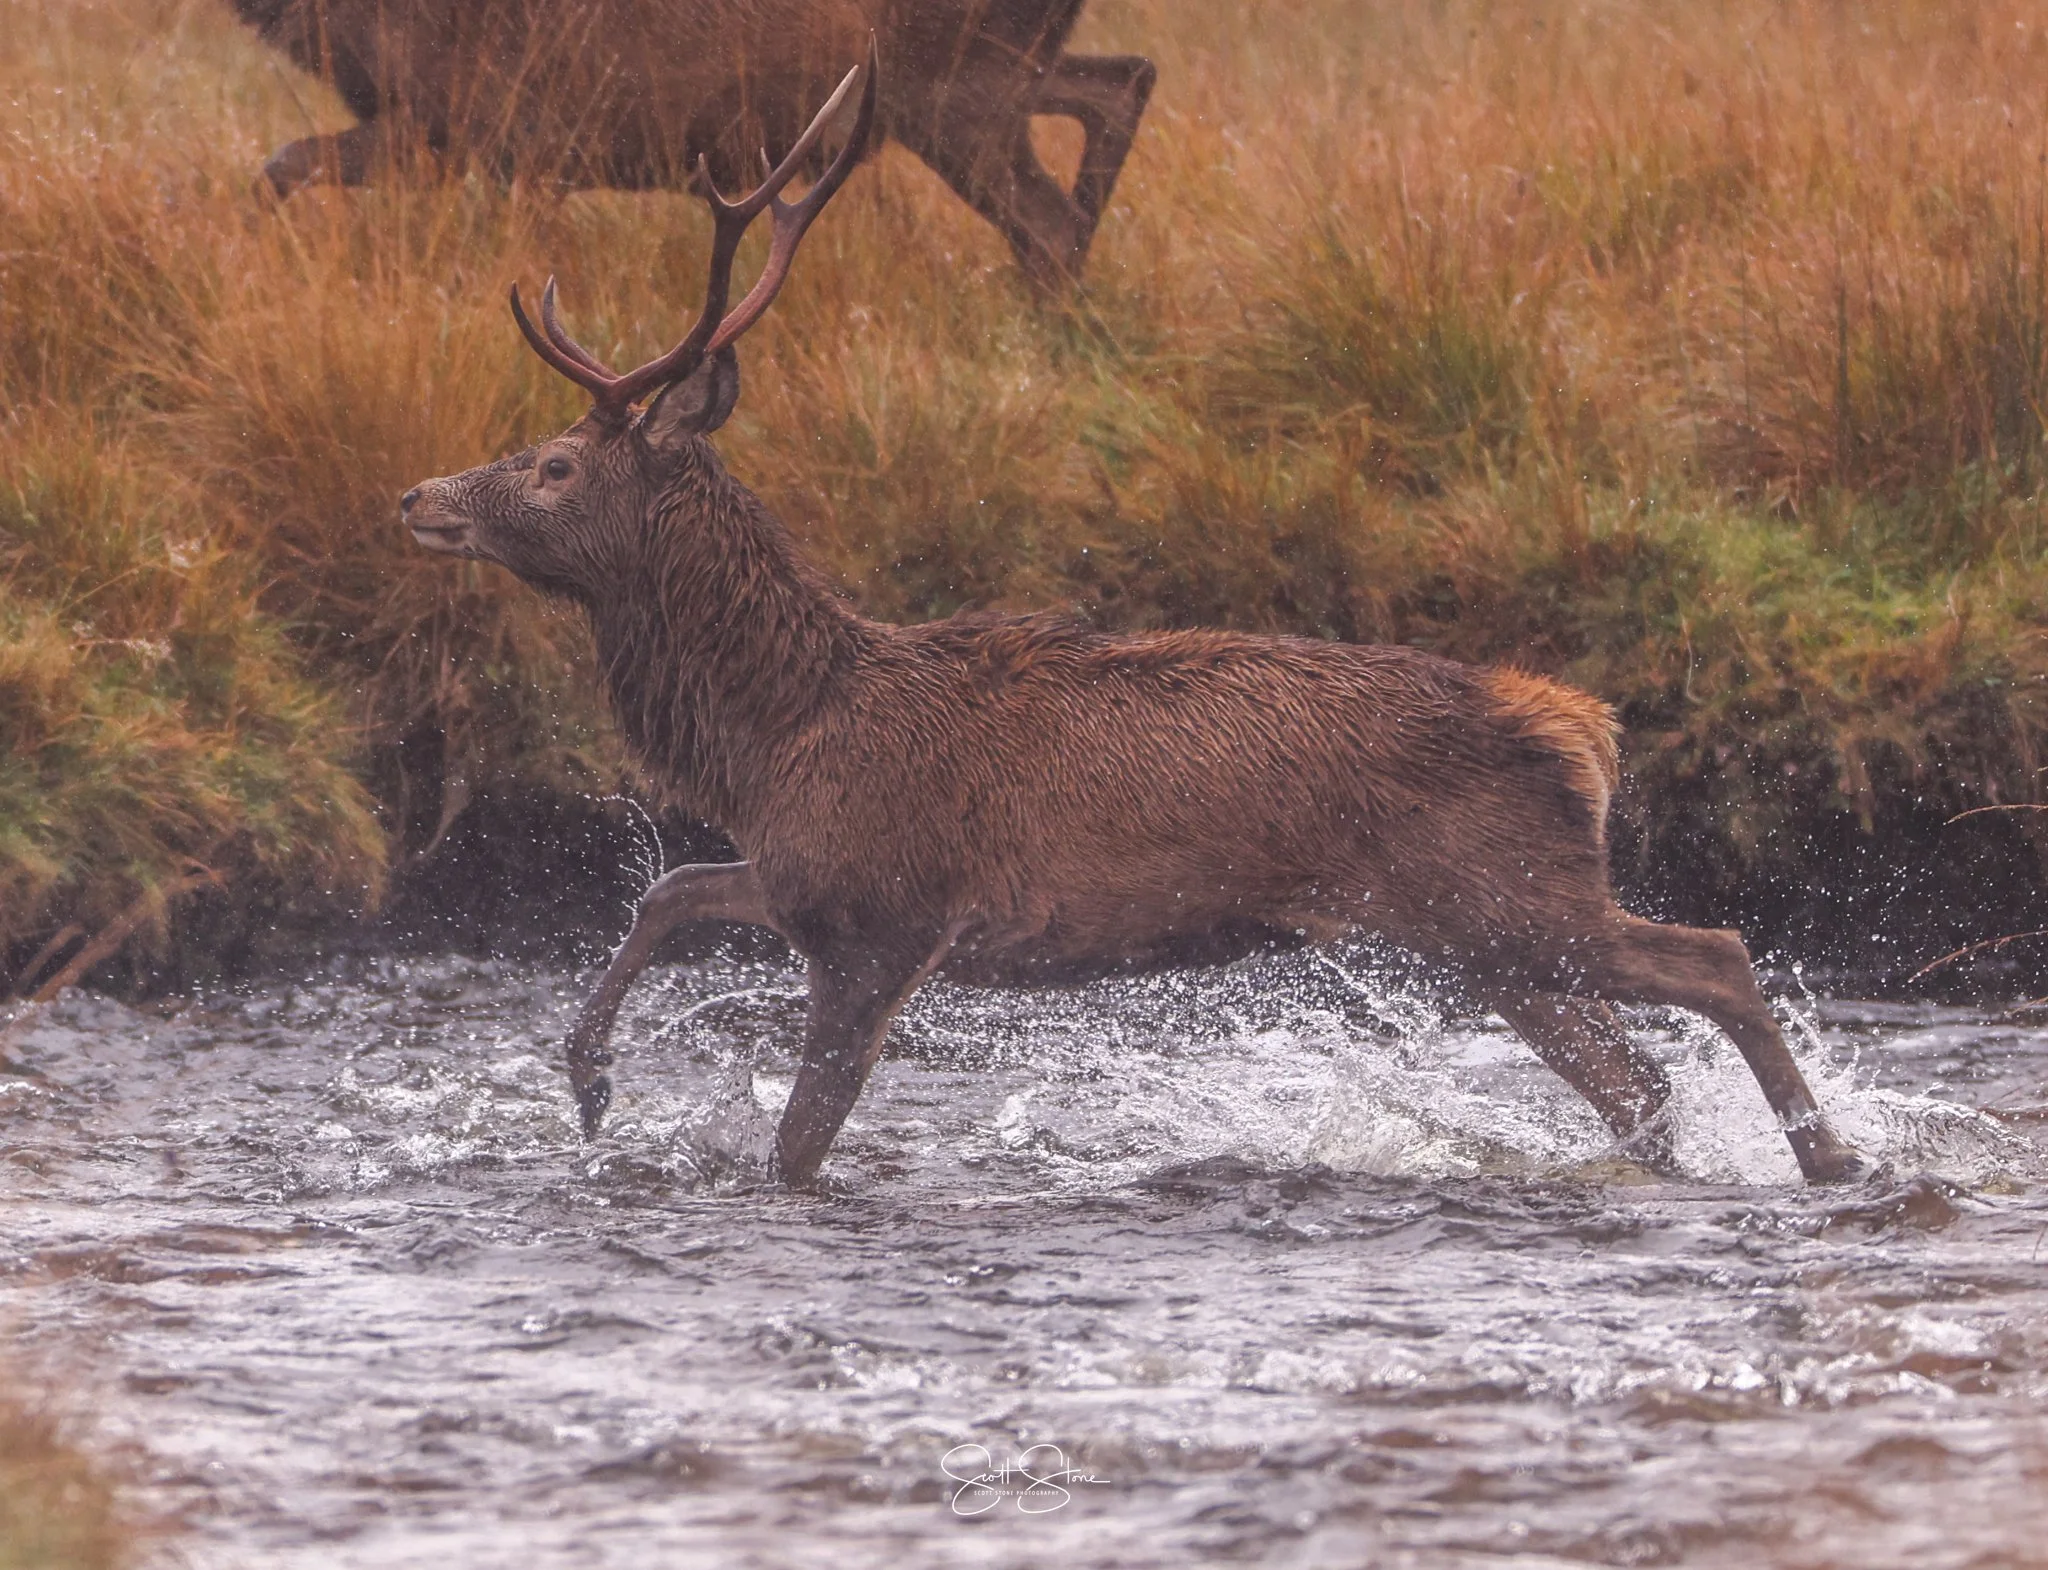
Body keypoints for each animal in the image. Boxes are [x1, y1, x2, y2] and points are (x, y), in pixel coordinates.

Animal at [231, 0, 1153, 286]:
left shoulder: (473, 119)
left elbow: (278, 166)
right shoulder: (492, 141)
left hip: (955, 89)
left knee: (1048, 220)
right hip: (1002, 74)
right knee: (1124, 80)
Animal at [399, 56, 1870, 1189]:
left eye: (555, 466)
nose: (419, 494)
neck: (771, 732)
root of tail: (1580, 724)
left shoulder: (888, 921)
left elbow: (798, 1143)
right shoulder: (812, 875)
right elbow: (670, 886)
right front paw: (587, 1081)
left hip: (1516, 898)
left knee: (1719, 955)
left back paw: (1832, 1160)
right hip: (1488, 932)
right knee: (1640, 1084)